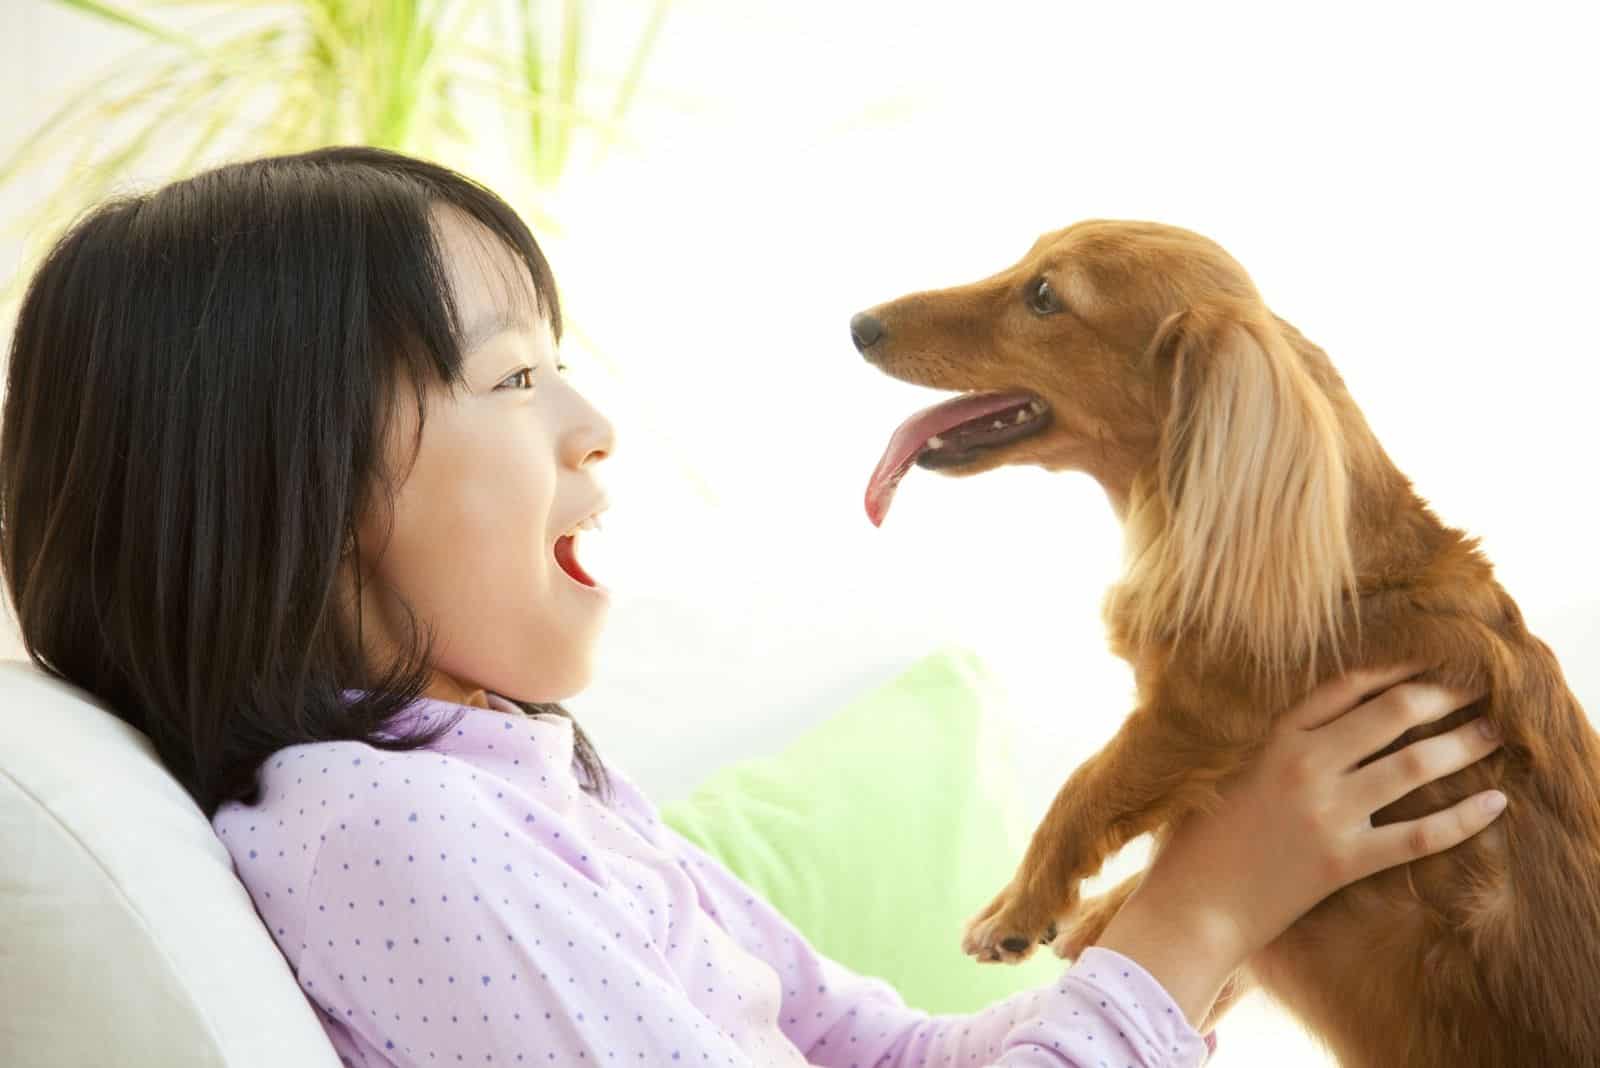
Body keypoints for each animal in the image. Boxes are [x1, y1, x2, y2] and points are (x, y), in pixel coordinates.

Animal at [851, 219, 1600, 1068]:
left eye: (1045, 295)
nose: (859, 326)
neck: (1349, 579)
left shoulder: (1194, 716)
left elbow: (1083, 788)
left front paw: (1022, 906)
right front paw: (1093, 913)